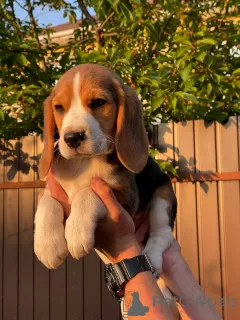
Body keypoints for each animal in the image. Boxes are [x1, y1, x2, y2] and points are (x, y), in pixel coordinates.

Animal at [34, 63, 176, 278]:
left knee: (162, 234)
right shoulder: (53, 188)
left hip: (163, 194)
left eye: (98, 102)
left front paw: (76, 231)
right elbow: (47, 202)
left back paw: (153, 258)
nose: (72, 137)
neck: (83, 162)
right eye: (59, 108)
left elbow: (87, 192)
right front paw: (48, 245)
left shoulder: (126, 198)